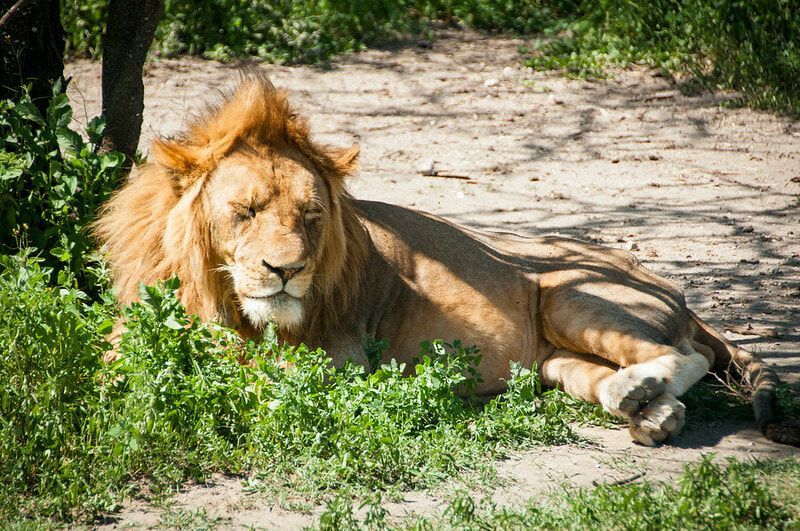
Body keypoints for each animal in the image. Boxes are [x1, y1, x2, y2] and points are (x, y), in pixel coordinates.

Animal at [92, 76, 792, 448]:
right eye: (245, 211)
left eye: (311, 216)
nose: (286, 271)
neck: (221, 298)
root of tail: (677, 292)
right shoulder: (127, 337)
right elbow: (112, 377)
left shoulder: (340, 356)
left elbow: (252, 382)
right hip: (552, 361)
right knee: (619, 376)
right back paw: (649, 408)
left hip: (570, 292)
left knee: (687, 354)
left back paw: (642, 391)